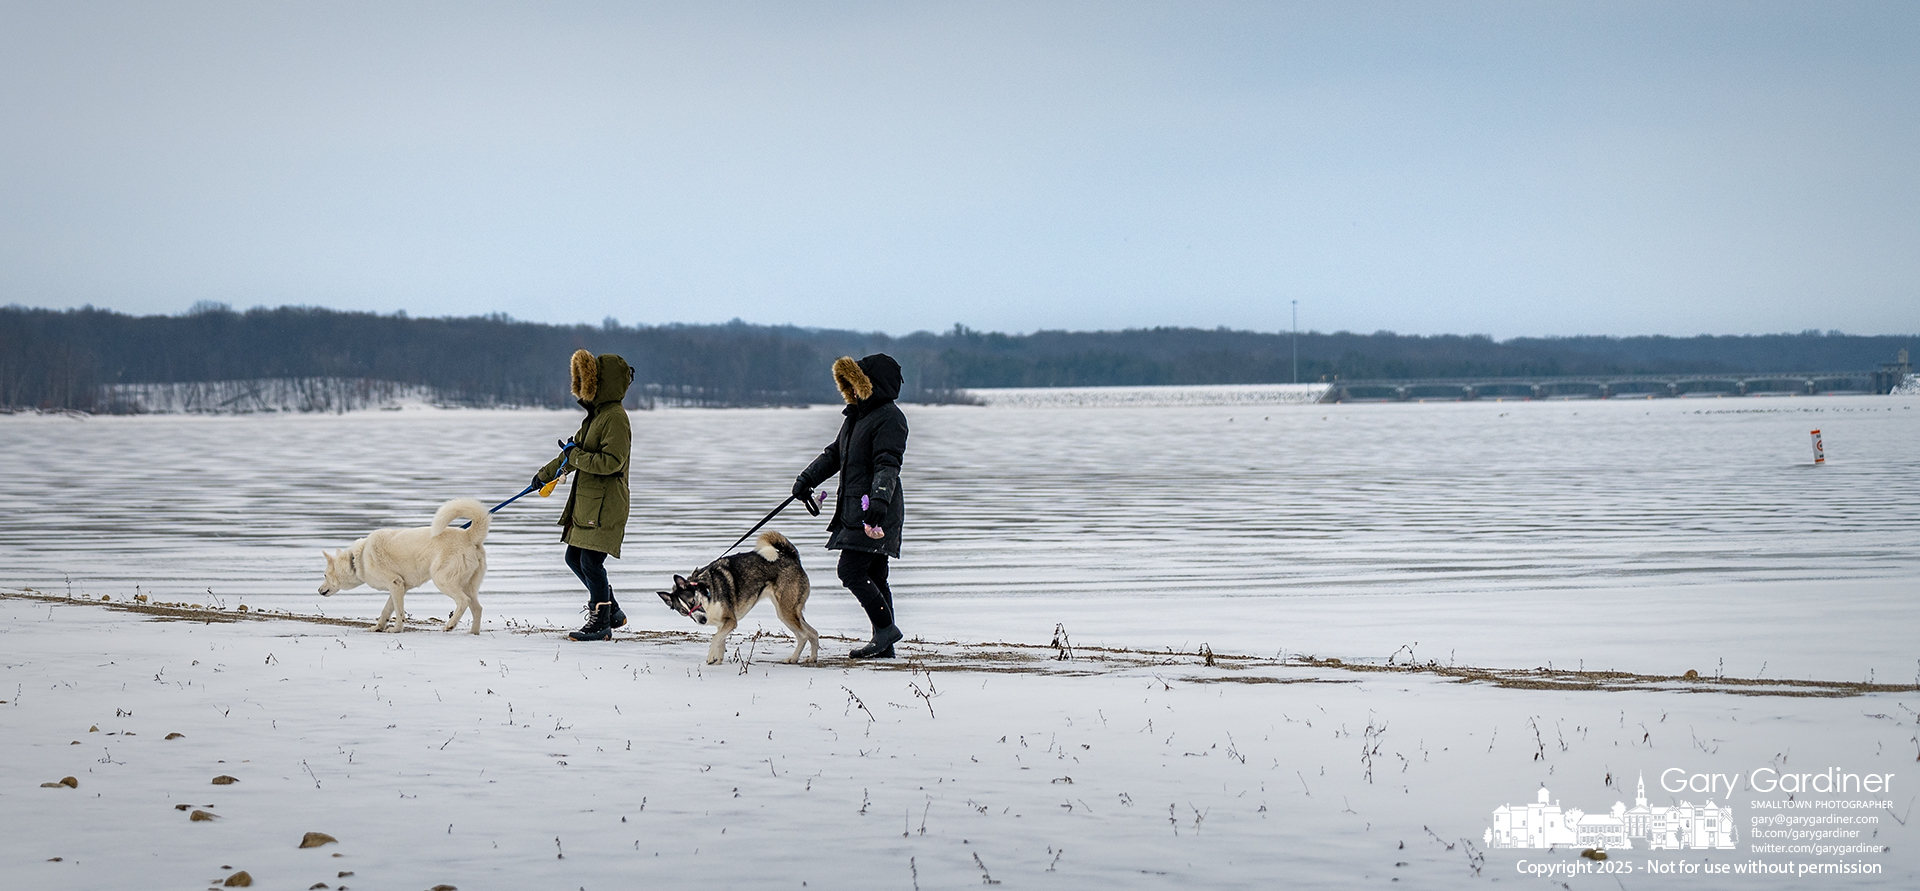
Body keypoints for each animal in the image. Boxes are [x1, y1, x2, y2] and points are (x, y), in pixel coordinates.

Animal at [318, 499, 491, 633]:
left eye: (325, 575)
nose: (319, 590)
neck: (357, 559)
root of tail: (469, 535)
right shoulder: (399, 587)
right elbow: (386, 610)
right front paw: (378, 627)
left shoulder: (395, 584)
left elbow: (399, 612)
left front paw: (396, 629)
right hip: (469, 585)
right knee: (478, 608)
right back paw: (473, 633)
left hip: (443, 581)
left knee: (463, 601)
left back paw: (450, 625)